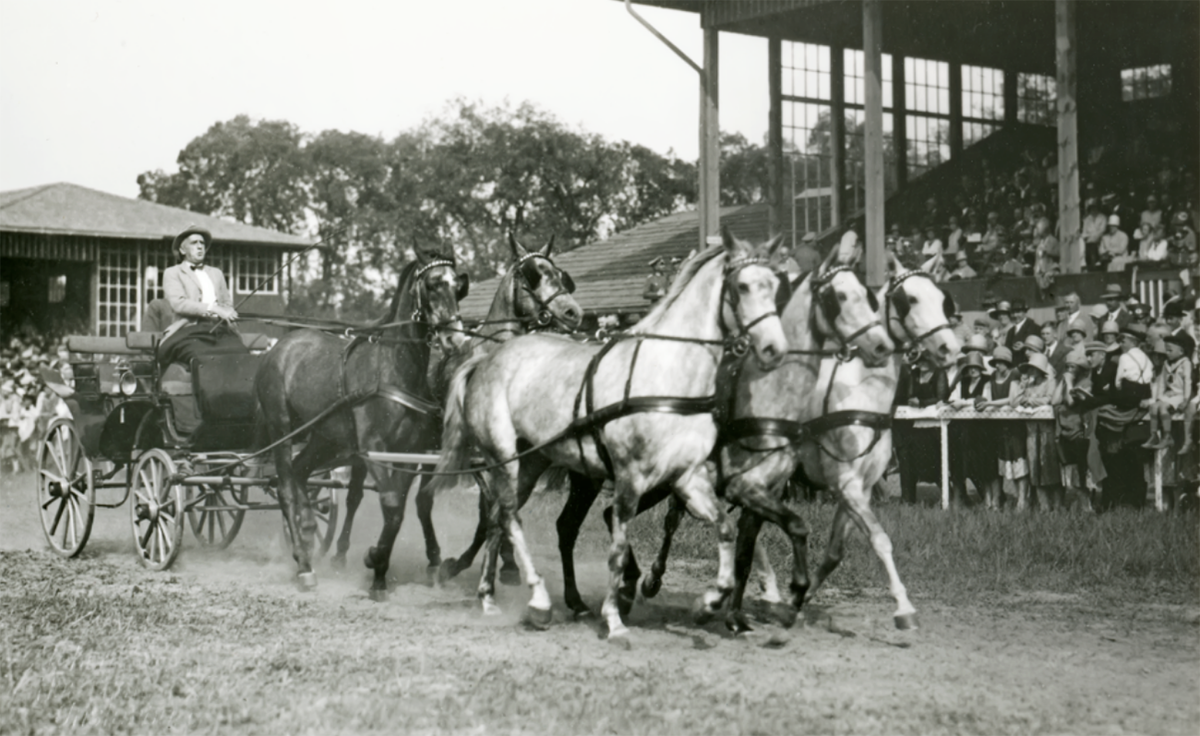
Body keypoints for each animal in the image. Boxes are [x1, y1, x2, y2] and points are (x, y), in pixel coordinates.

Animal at [258, 247, 468, 597]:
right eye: (432, 285)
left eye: (458, 285)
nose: (455, 339)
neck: (392, 369)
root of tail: (279, 348)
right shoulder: (372, 450)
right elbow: (391, 506)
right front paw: (374, 561)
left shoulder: (408, 455)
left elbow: (398, 509)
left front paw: (379, 569)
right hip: (281, 429)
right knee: (286, 486)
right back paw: (303, 563)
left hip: (324, 436)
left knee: (301, 471)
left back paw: (308, 534)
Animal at [331, 234, 583, 573]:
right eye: (532, 274)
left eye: (558, 274)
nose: (573, 312)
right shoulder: (478, 458)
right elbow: (488, 508)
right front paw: (471, 562)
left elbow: (501, 507)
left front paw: (505, 561)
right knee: (356, 494)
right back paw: (341, 551)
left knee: (420, 500)